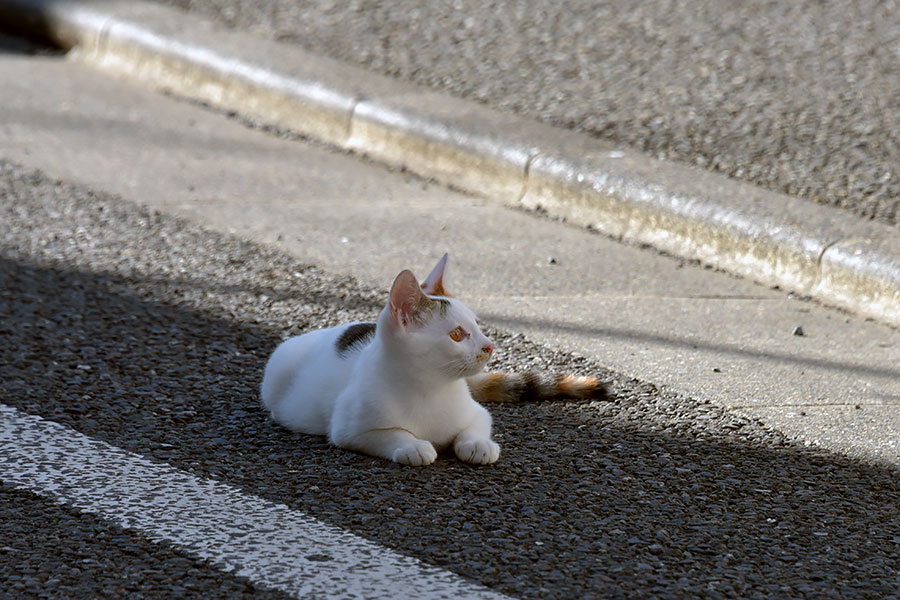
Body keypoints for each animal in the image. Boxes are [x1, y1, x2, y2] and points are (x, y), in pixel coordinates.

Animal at [264, 255, 608, 466]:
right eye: (457, 334)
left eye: (478, 326)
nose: (489, 346)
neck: (430, 388)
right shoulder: (350, 429)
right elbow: (391, 433)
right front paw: (413, 446)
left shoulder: (476, 412)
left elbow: (476, 426)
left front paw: (477, 445)